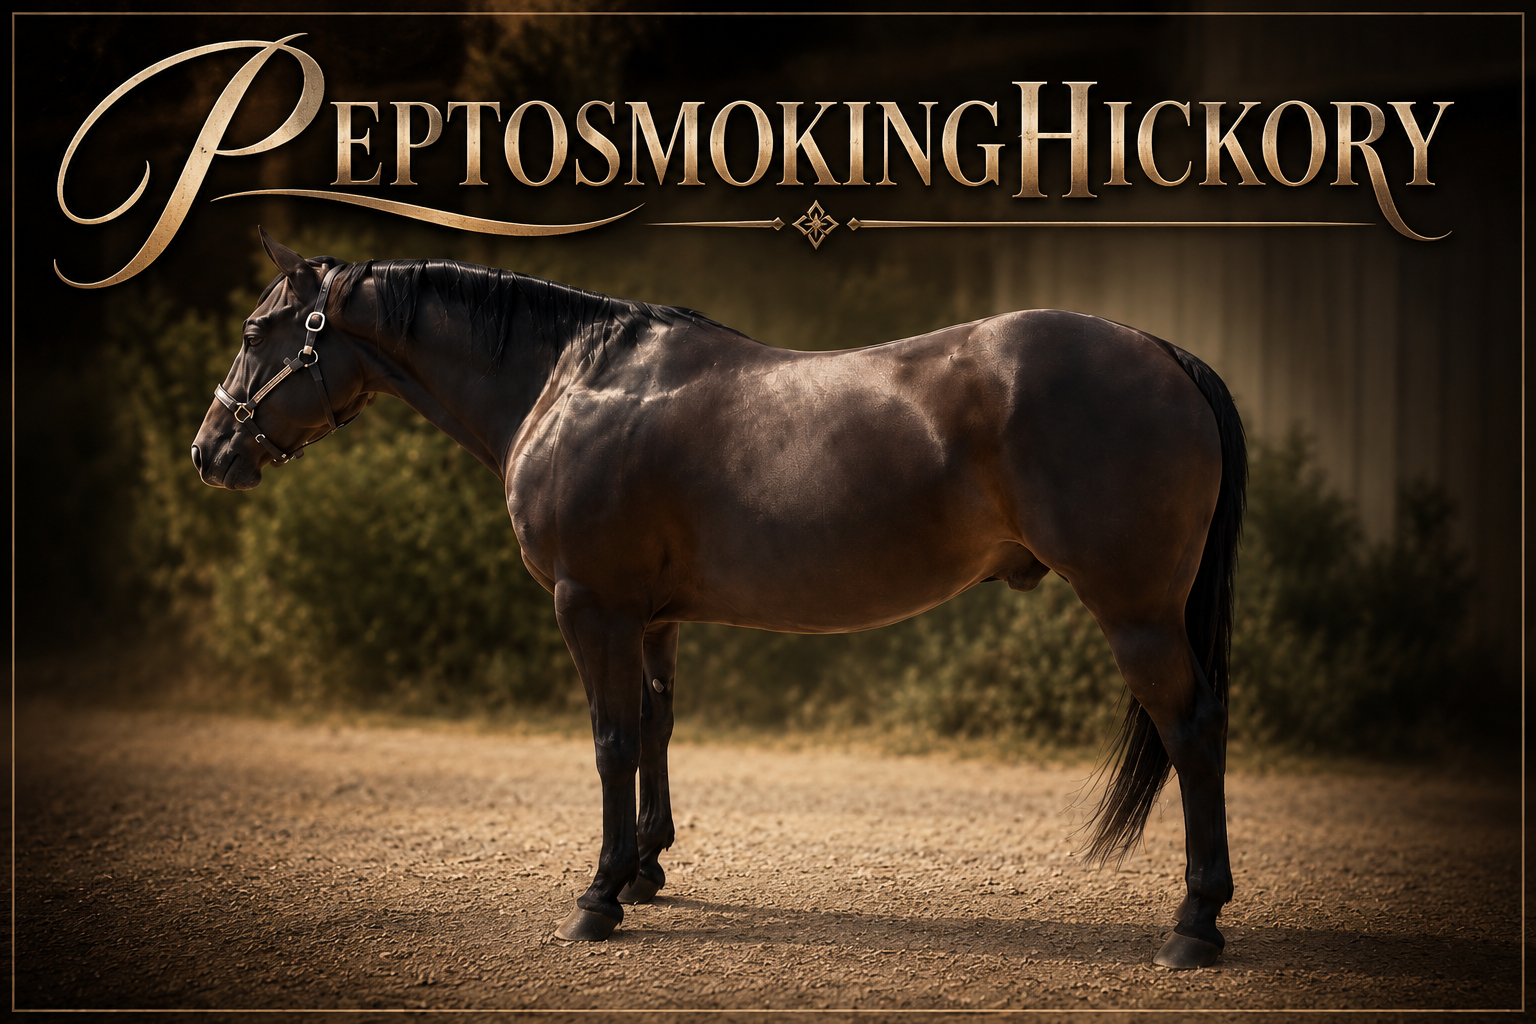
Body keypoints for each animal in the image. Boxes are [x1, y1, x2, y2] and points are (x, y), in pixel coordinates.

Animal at [193, 229, 1245, 970]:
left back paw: (1195, 923)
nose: (210, 451)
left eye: (253, 333)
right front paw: (646, 868)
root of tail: (1162, 352)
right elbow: (657, 726)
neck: (570, 384)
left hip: (1138, 613)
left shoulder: (591, 607)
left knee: (1192, 728)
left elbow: (612, 738)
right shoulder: (651, 617)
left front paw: (598, 897)